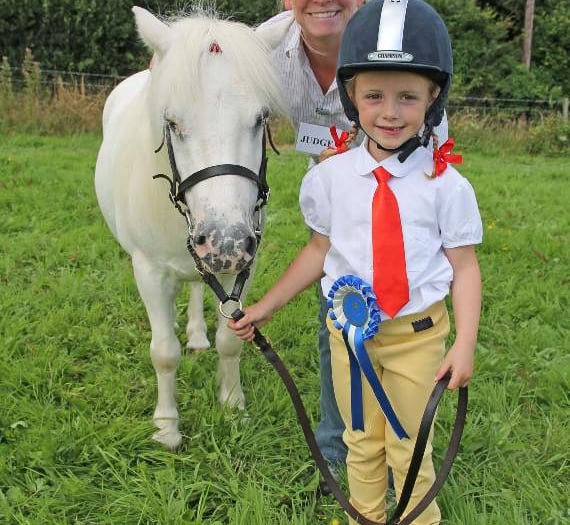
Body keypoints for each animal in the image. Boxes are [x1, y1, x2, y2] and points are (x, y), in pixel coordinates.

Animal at [95, 6, 288, 448]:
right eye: (171, 122)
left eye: (260, 119)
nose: (225, 243)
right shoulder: (149, 272)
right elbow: (164, 352)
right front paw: (166, 427)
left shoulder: (243, 267)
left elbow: (231, 339)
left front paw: (233, 407)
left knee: (200, 285)